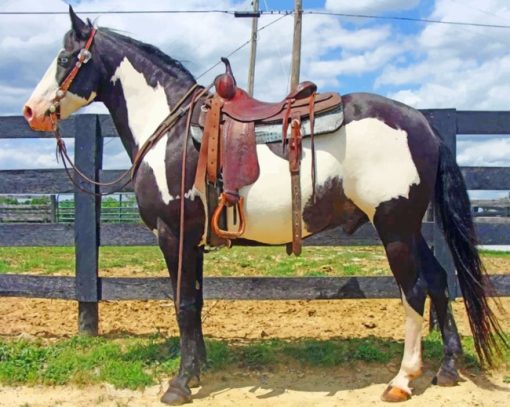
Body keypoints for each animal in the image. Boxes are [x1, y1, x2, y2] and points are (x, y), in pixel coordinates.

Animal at [22, 6, 506, 404]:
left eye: (64, 59)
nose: (30, 111)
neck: (171, 132)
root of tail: (422, 123)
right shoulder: (193, 239)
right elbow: (196, 303)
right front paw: (198, 370)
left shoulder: (172, 234)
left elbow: (182, 304)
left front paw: (179, 384)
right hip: (407, 226)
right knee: (440, 281)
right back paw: (447, 369)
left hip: (394, 228)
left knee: (416, 290)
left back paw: (403, 380)